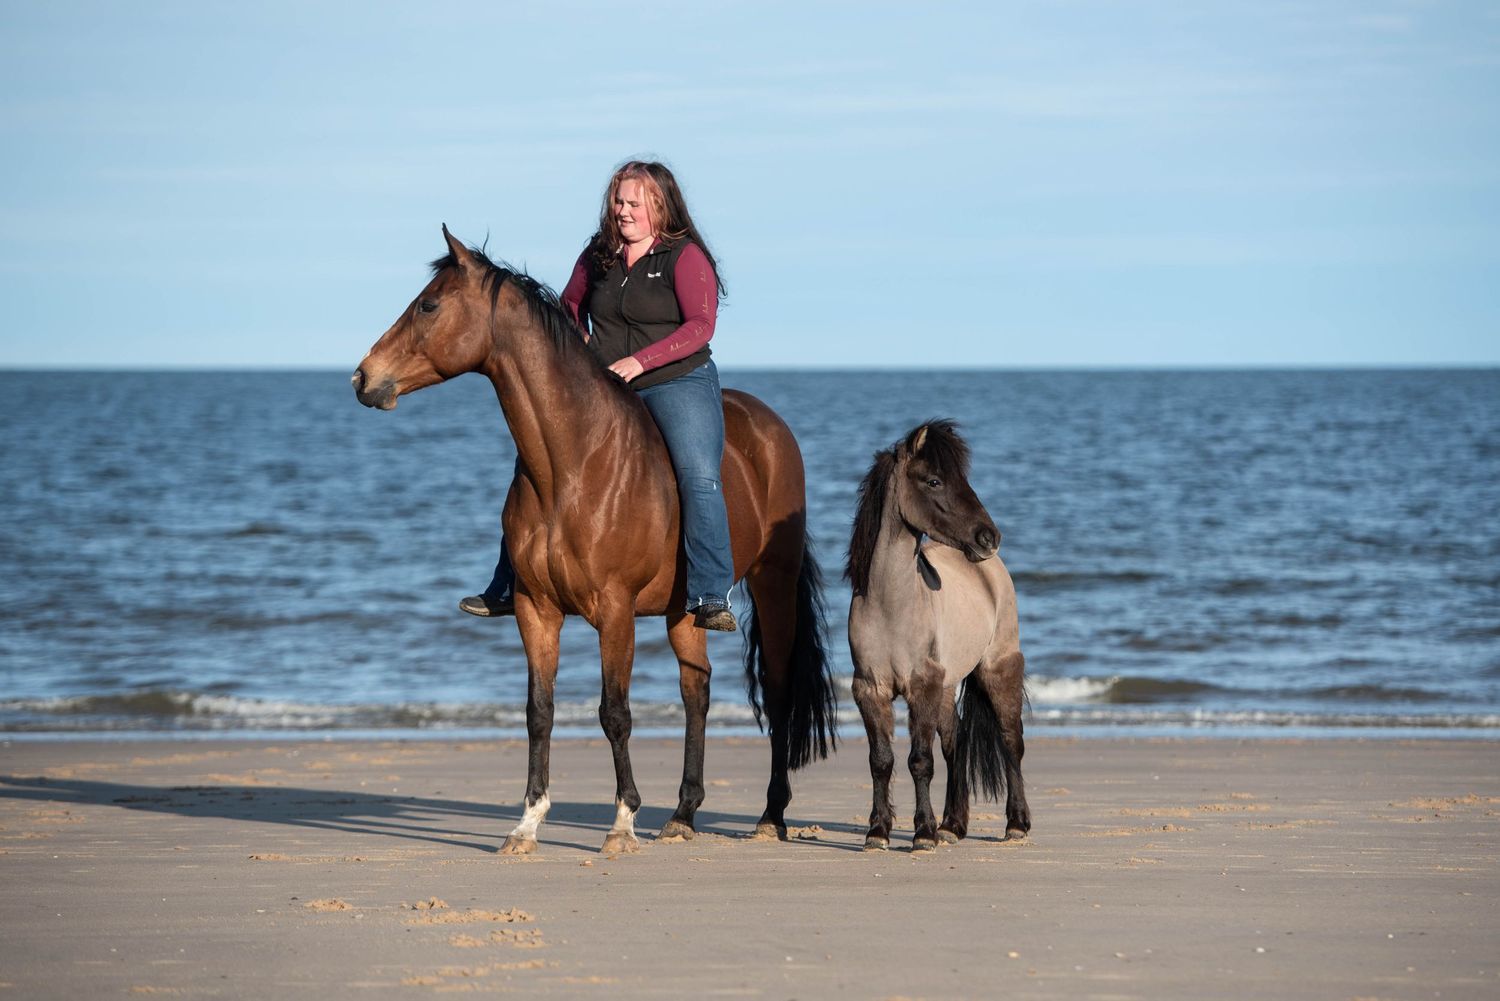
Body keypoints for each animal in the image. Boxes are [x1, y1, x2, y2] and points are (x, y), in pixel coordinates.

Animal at [352, 227, 838, 855]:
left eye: (428, 305)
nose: (363, 378)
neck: (575, 464)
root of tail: (772, 428)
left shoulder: (615, 610)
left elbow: (615, 712)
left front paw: (623, 821)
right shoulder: (535, 609)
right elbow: (539, 711)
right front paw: (528, 822)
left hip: (773, 585)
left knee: (776, 692)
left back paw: (770, 815)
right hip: (683, 609)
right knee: (696, 689)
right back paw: (683, 813)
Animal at [845, 420, 1030, 851]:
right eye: (934, 480)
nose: (988, 537)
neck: (890, 606)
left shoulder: (922, 686)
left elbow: (919, 761)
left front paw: (923, 833)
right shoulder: (870, 689)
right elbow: (881, 761)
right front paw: (878, 832)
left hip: (998, 669)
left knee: (1011, 741)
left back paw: (1016, 824)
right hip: (948, 686)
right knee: (955, 743)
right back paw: (953, 825)